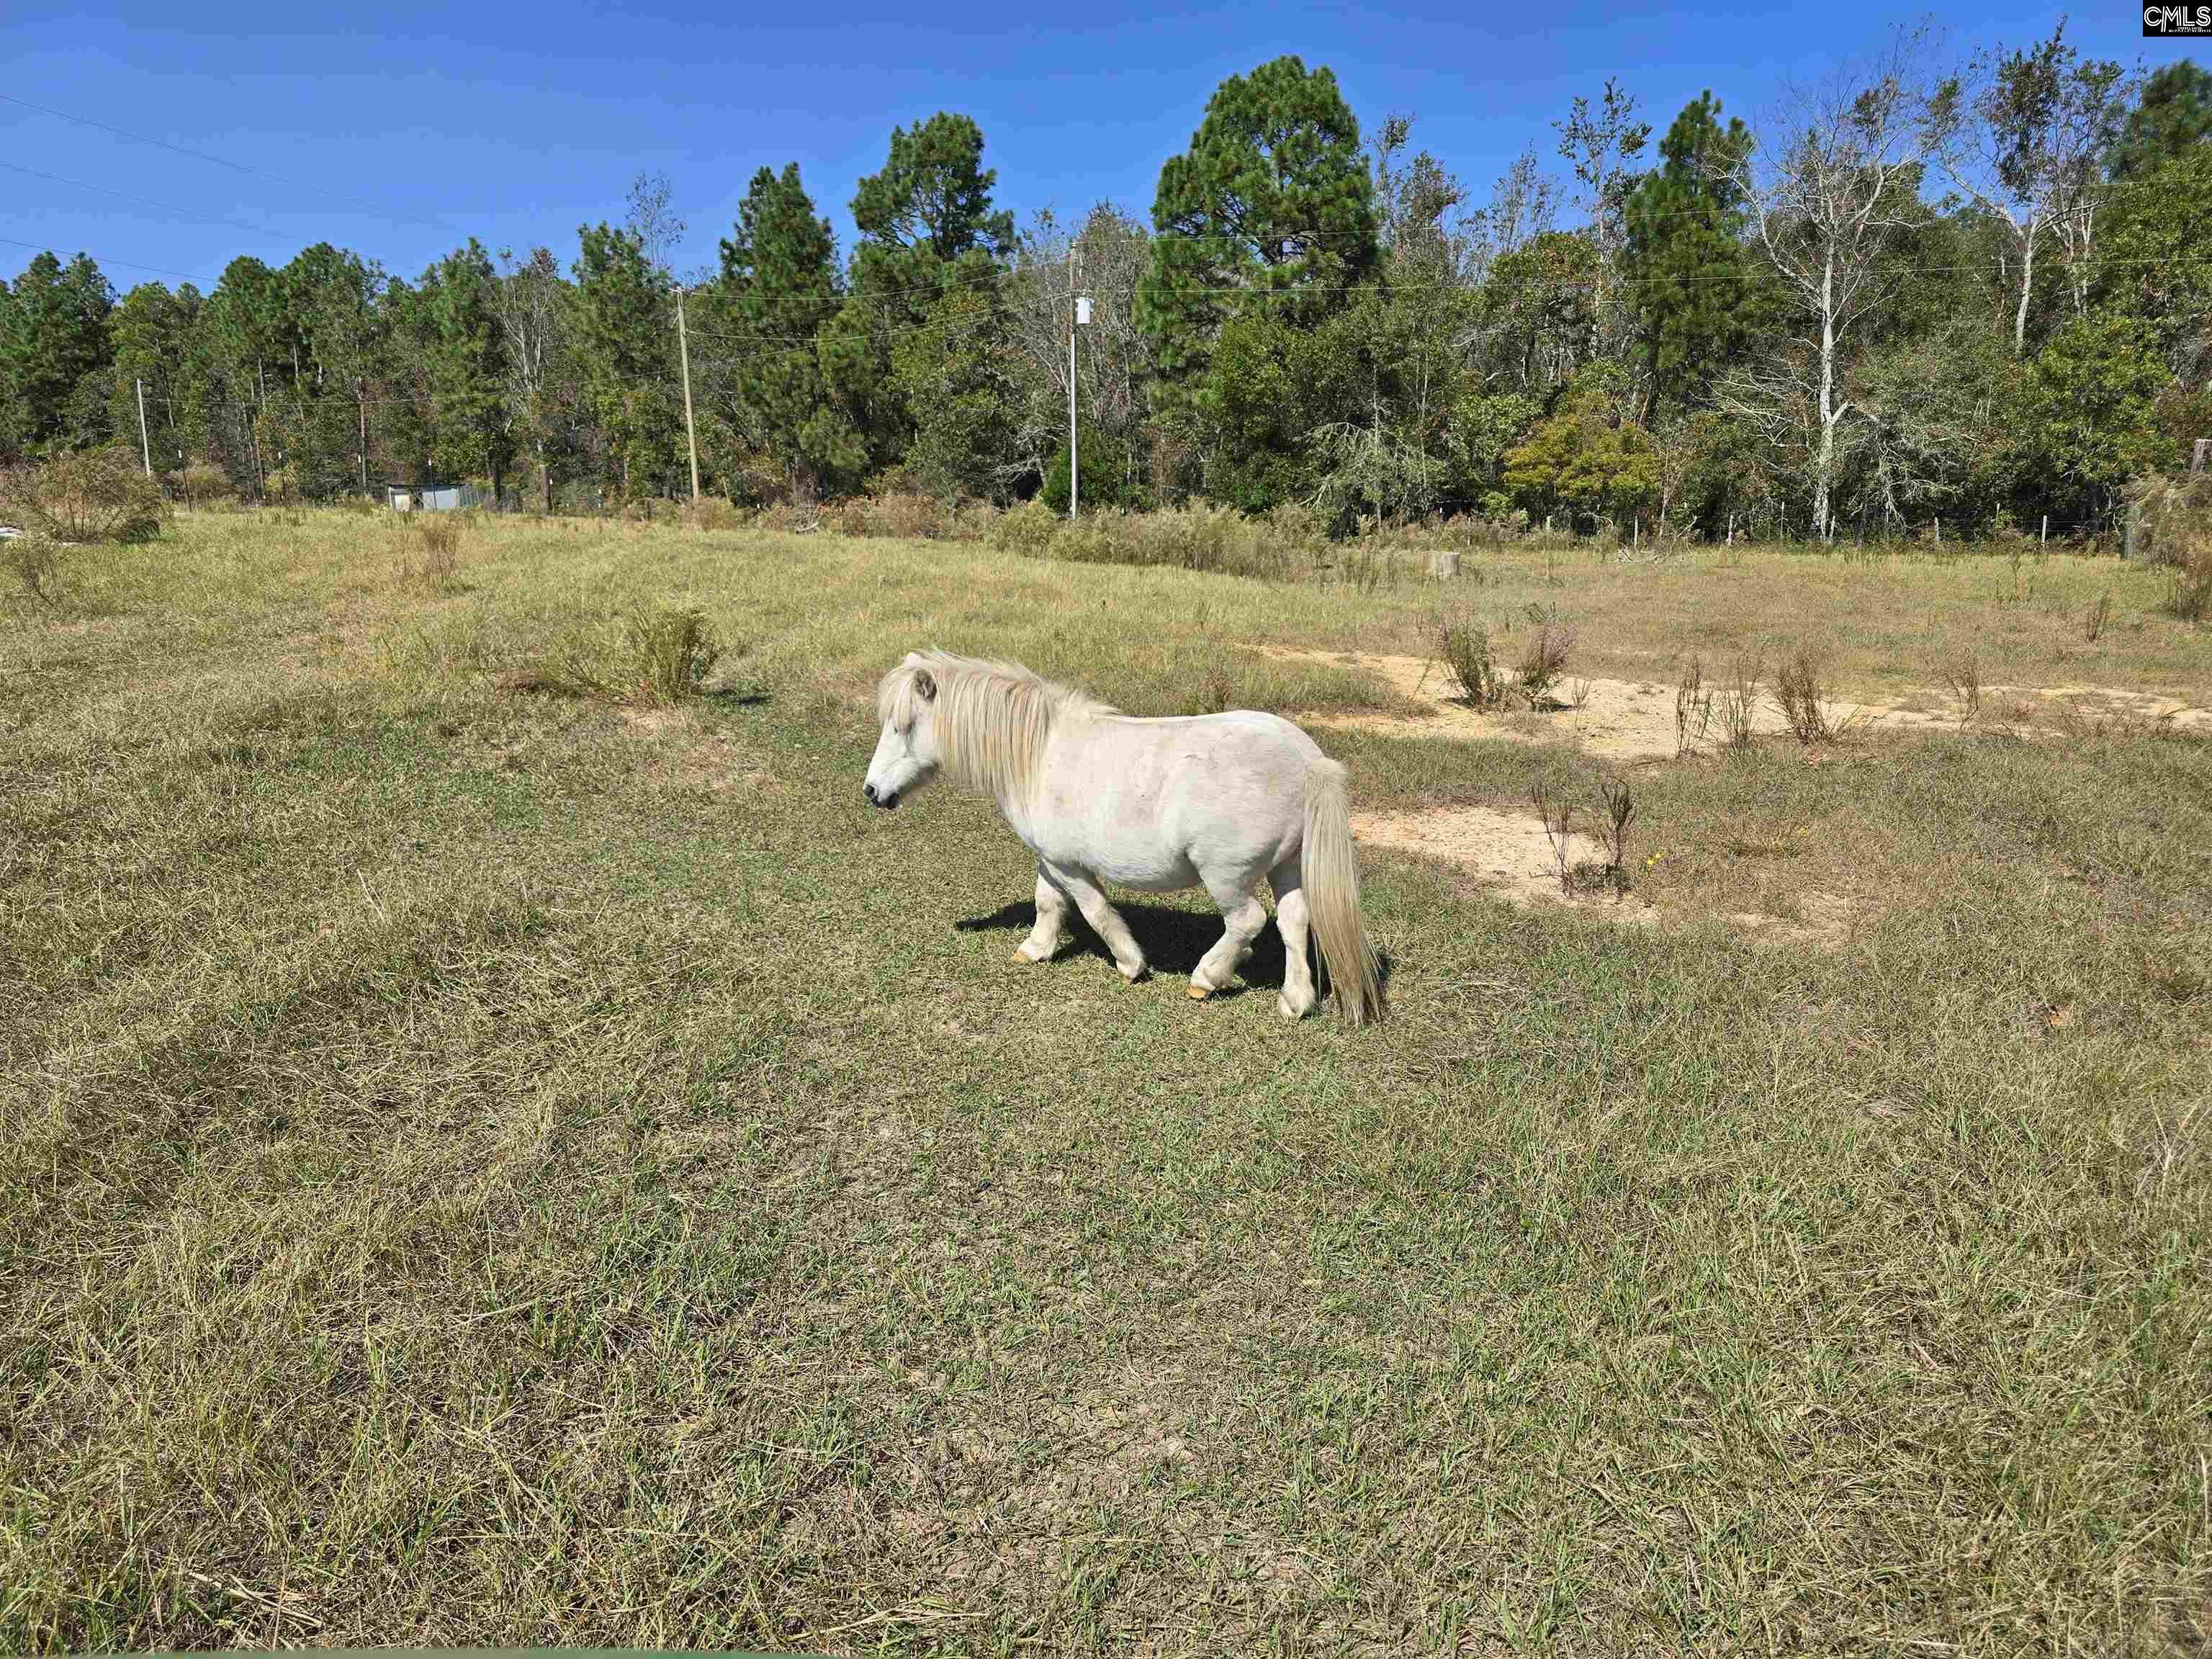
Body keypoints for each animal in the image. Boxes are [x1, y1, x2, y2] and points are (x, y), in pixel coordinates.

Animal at [863, 655, 1380, 1026]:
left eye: (903, 726)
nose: (871, 792)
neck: (1038, 755)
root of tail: (1309, 762)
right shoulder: (1050, 860)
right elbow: (1048, 903)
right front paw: (1035, 949)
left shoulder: (1072, 866)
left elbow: (1096, 911)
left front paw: (1131, 964)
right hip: (1287, 864)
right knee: (1294, 924)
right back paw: (1296, 1002)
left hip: (1227, 876)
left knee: (1247, 922)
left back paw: (1206, 978)